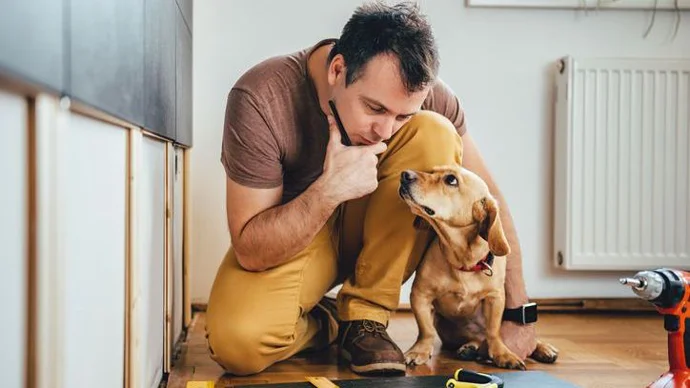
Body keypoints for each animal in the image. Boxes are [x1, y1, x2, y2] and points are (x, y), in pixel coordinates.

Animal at [396, 164, 556, 370]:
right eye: (432, 171)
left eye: (451, 180)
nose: (405, 174)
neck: (463, 261)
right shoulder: (420, 295)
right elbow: (426, 330)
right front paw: (419, 351)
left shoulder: (495, 298)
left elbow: (494, 332)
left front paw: (503, 354)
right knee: (476, 340)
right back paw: (470, 347)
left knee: (497, 337)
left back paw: (544, 349)